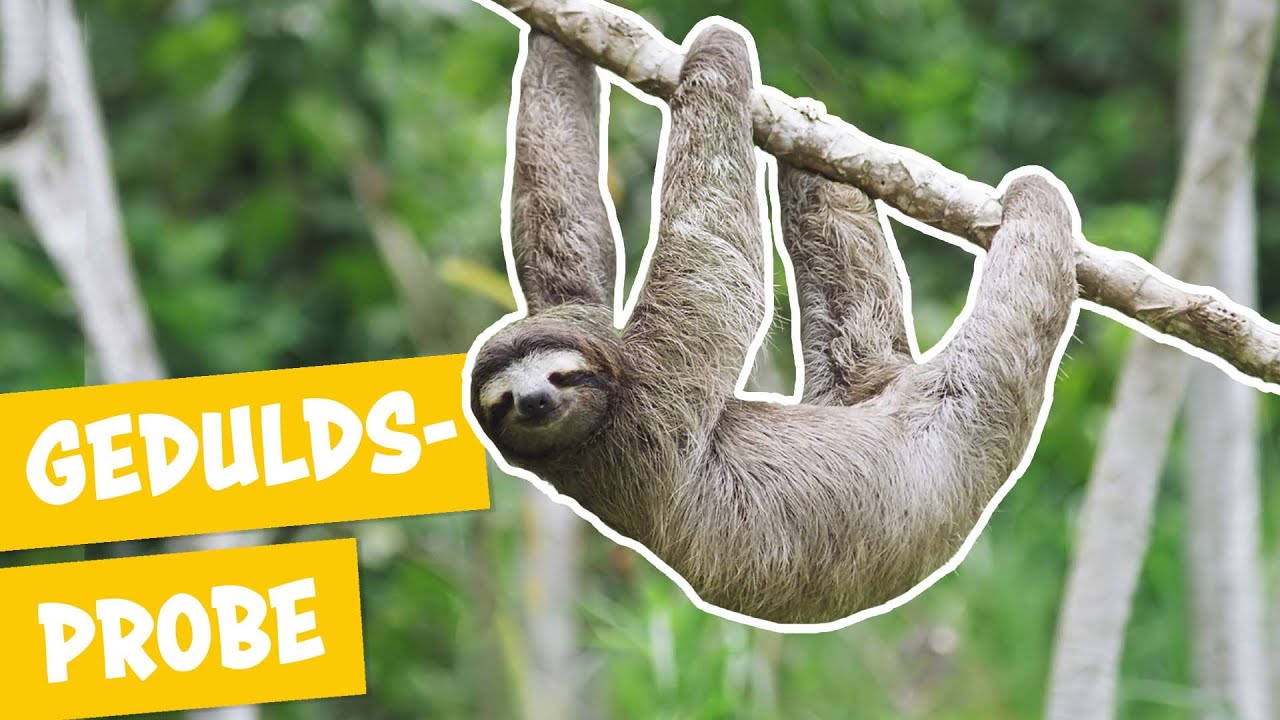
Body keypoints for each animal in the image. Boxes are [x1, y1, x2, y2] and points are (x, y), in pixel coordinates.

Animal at [468, 25, 1077, 624]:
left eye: (559, 375)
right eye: (503, 402)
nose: (535, 402)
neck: (589, 438)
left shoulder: (580, 323)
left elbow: (566, 218)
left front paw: (552, 33)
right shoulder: (654, 398)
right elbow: (714, 260)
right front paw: (718, 44)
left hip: (869, 378)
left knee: (849, 310)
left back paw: (812, 155)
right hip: (965, 424)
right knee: (1013, 306)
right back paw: (1036, 197)